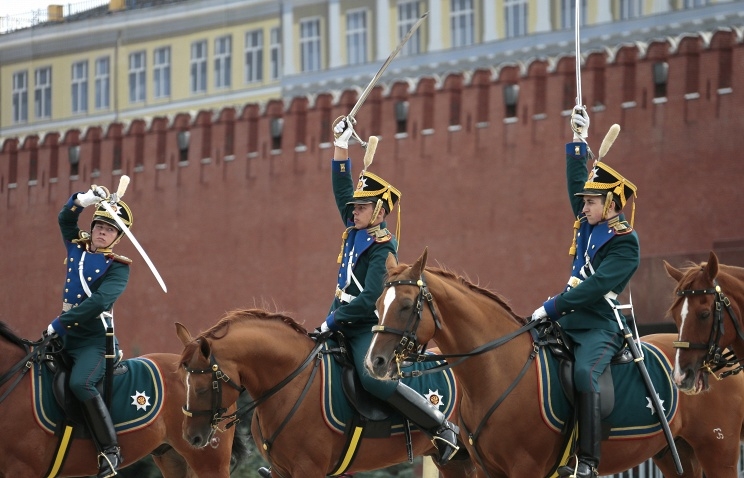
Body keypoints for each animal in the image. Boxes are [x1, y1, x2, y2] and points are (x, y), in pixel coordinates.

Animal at [177, 308, 474, 476]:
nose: (191, 437)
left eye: (202, 387)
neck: (292, 382)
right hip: (456, 463)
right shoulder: (281, 471)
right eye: (184, 382)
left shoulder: (308, 469)